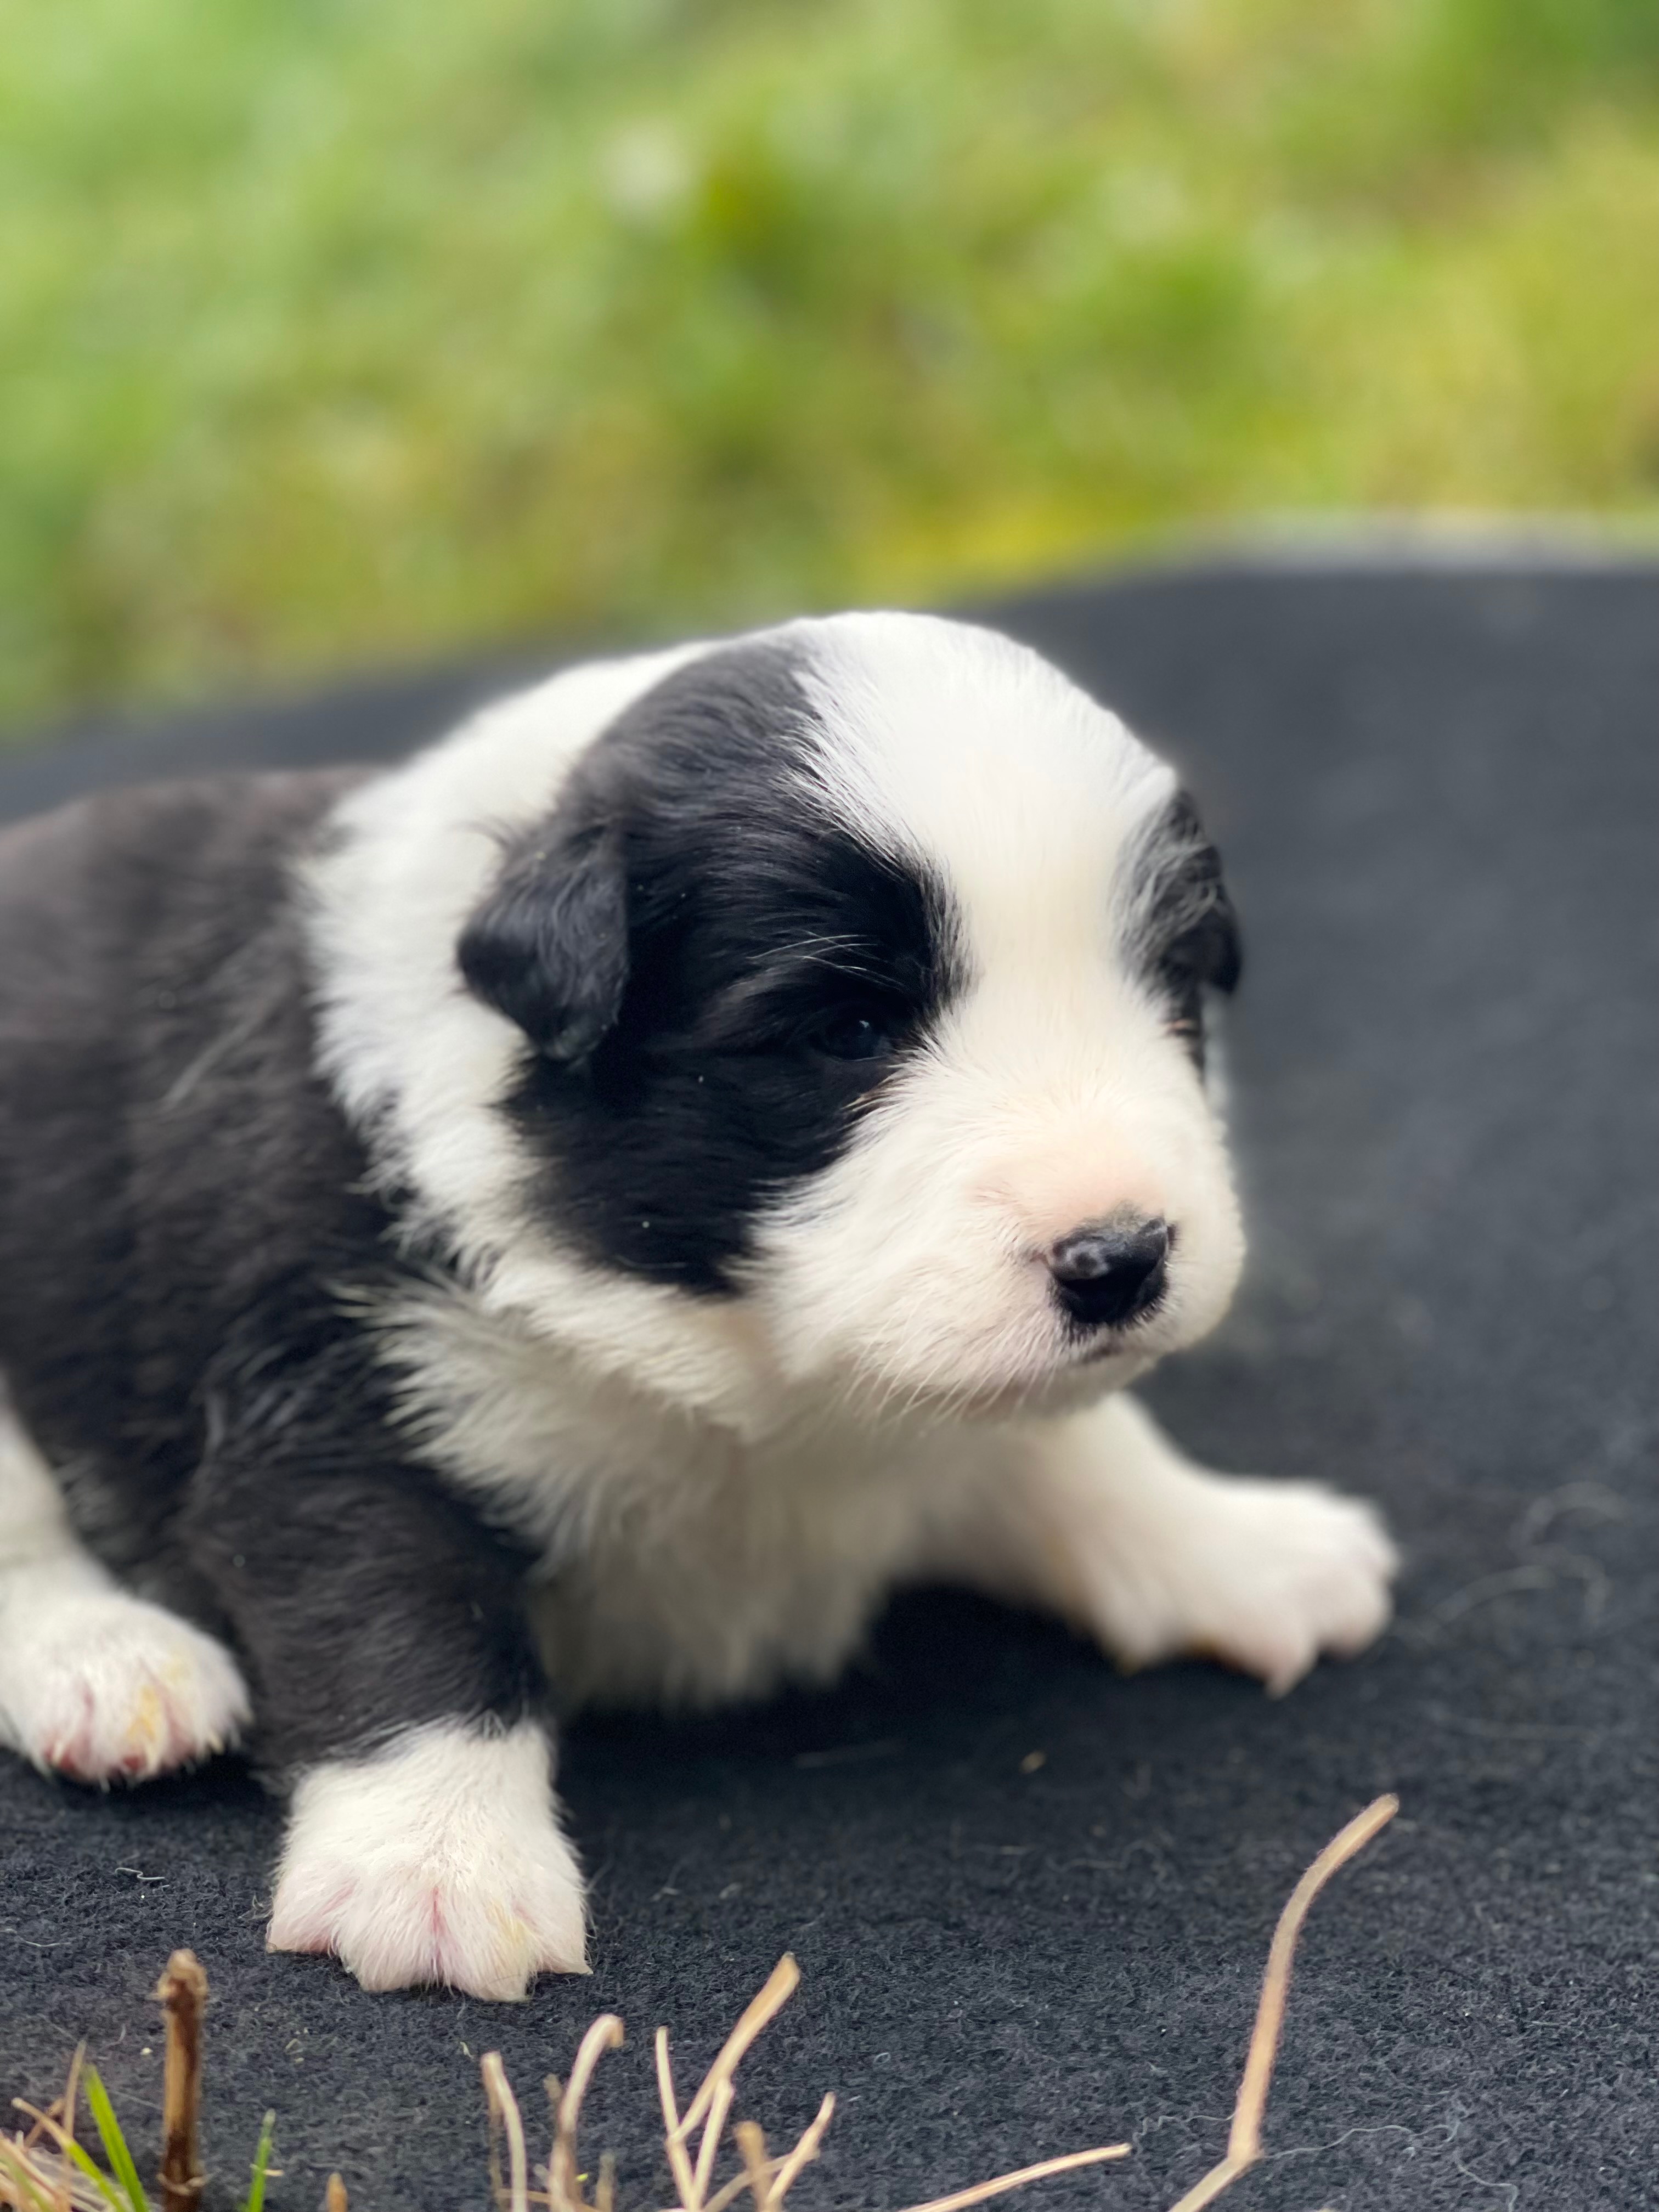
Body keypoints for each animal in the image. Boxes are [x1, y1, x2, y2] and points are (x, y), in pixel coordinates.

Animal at [0, 614, 1407, 1999]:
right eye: (847, 1030)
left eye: (1173, 993)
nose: (1123, 1257)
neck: (744, 1360)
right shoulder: (330, 1382)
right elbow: (404, 1613)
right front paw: (438, 1867)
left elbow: (1080, 1450)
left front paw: (1237, 1547)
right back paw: (115, 1666)